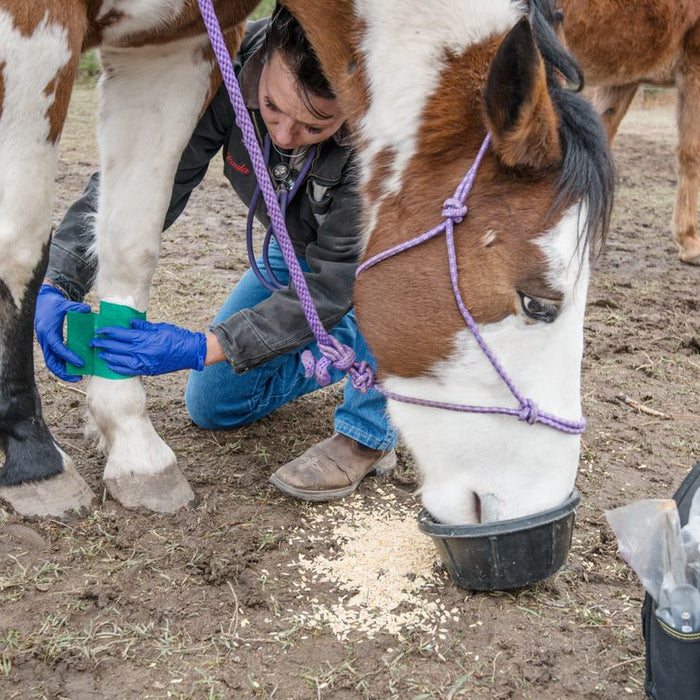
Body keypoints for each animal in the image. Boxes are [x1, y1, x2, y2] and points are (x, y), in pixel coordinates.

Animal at [0, 0, 612, 524]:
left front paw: (134, 445)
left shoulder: (170, 46)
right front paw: (32, 458)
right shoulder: (31, 29)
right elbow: (20, 248)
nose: (540, 504)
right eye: (538, 302)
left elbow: (133, 238)